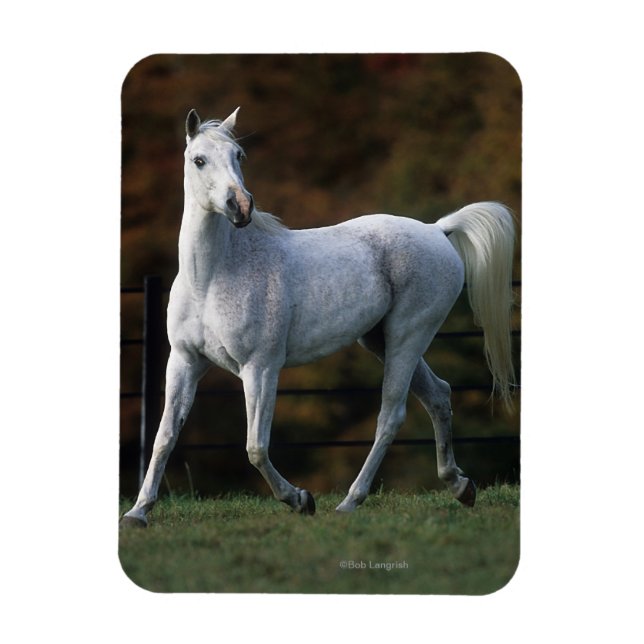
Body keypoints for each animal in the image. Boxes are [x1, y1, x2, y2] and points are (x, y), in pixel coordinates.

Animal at [120, 107, 516, 527]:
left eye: (239, 155)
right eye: (199, 160)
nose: (239, 207)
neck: (211, 278)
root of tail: (437, 229)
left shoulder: (260, 369)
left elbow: (255, 447)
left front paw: (300, 499)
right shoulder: (184, 362)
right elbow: (164, 437)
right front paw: (137, 512)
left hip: (408, 337)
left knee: (391, 414)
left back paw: (350, 501)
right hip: (380, 340)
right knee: (438, 395)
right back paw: (461, 486)